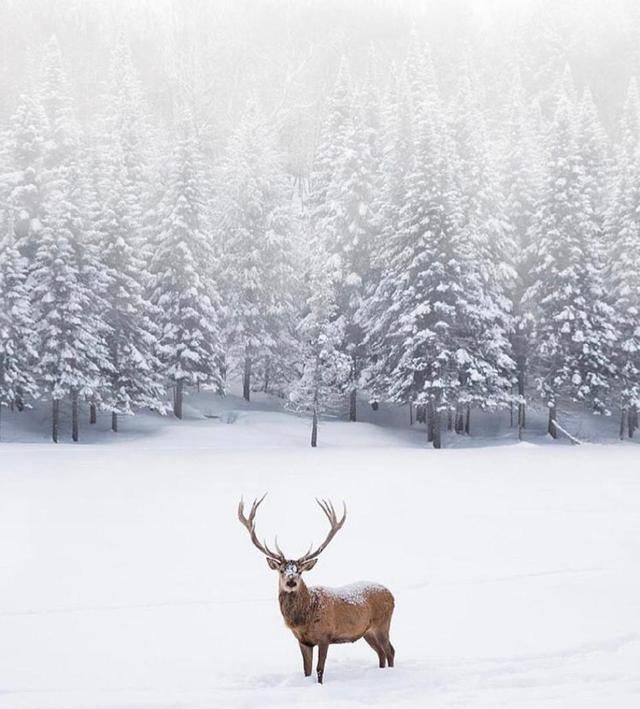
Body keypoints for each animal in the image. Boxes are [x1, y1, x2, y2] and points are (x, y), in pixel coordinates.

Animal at [236, 492, 392, 680]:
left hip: (382, 623)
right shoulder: (303, 641)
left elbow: (319, 670)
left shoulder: (325, 636)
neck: (304, 617)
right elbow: (307, 670)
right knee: (381, 652)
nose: (291, 581)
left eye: (300, 571)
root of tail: (391, 594)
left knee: (390, 651)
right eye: (281, 570)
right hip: (367, 631)